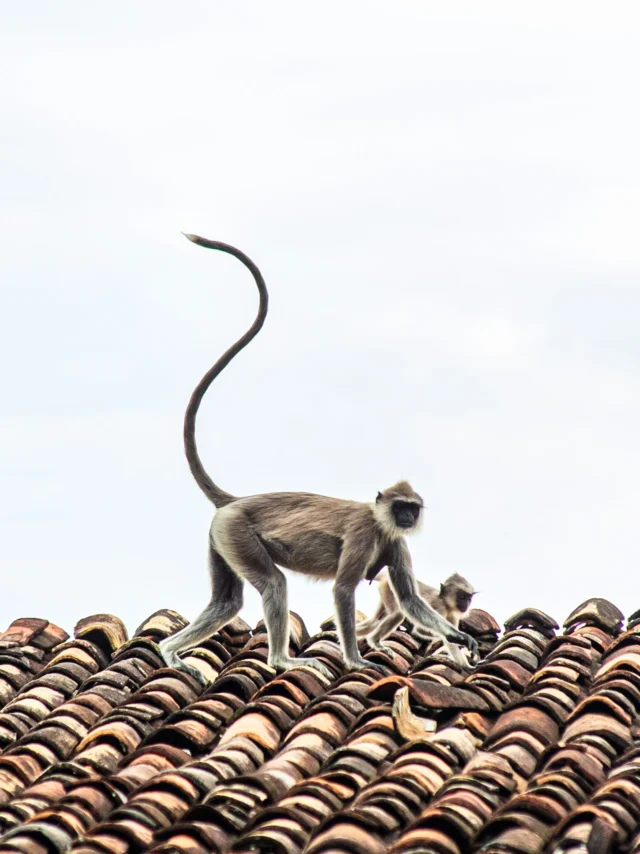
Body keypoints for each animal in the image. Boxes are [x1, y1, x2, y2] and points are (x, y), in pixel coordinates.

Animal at [159, 235, 479, 684]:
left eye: (412, 509)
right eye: (400, 506)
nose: (406, 517)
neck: (381, 522)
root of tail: (235, 501)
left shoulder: (394, 541)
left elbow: (412, 601)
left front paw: (457, 637)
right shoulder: (365, 533)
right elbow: (344, 590)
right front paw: (356, 660)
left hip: (220, 538)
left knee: (227, 603)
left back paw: (170, 652)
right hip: (236, 533)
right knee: (274, 584)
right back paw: (281, 660)